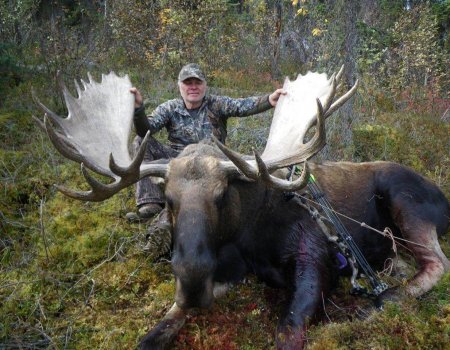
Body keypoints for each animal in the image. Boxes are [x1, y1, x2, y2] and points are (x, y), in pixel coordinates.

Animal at [32, 69, 450, 350]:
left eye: (222, 194)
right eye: (170, 199)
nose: (191, 277)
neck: (250, 236)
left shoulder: (316, 258)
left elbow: (287, 332)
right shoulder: (227, 270)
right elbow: (154, 332)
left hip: (404, 201)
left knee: (436, 263)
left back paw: (380, 303)